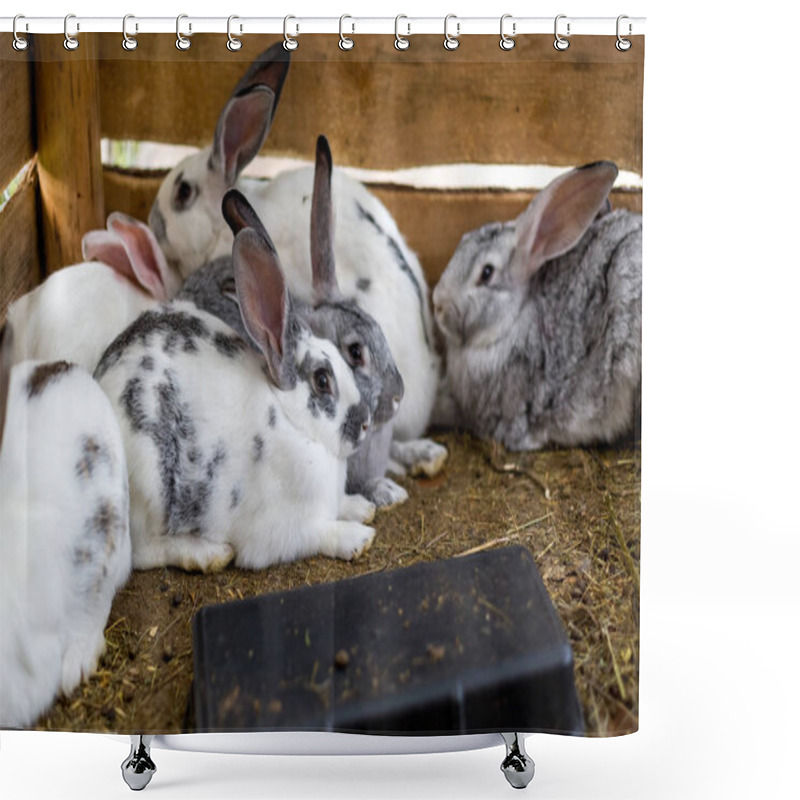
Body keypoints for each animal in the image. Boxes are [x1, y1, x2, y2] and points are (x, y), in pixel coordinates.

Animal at [95, 212, 376, 576]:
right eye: (323, 380)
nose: (366, 422)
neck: (291, 420)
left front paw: (363, 507)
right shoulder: (282, 531)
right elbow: (319, 533)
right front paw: (358, 537)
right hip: (150, 482)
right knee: (144, 551)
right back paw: (207, 553)